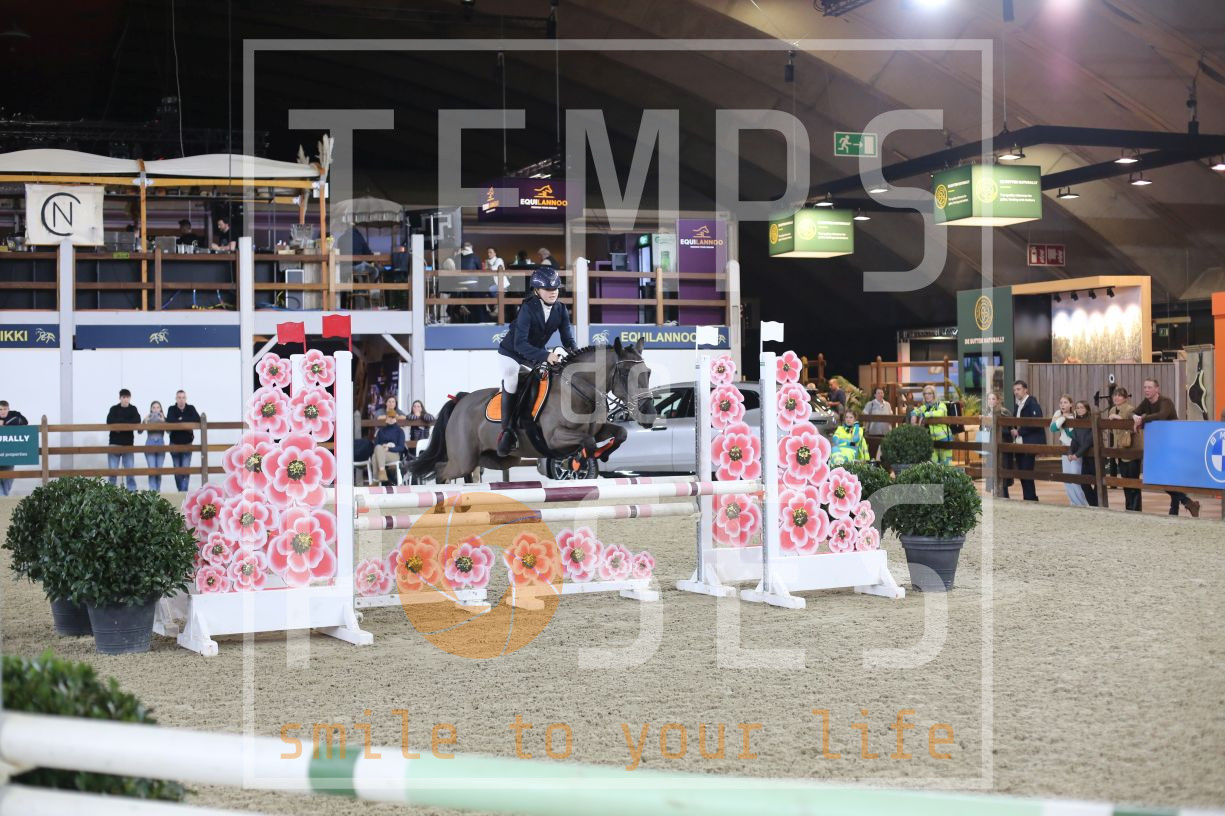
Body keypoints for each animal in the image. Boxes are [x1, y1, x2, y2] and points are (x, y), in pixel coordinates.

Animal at [408, 337, 656, 483]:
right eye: (625, 374)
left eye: (649, 372)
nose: (649, 414)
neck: (576, 389)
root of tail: (460, 401)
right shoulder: (556, 437)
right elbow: (586, 443)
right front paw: (576, 461)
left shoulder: (598, 429)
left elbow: (620, 434)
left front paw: (601, 454)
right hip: (463, 458)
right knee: (441, 469)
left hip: (497, 459)